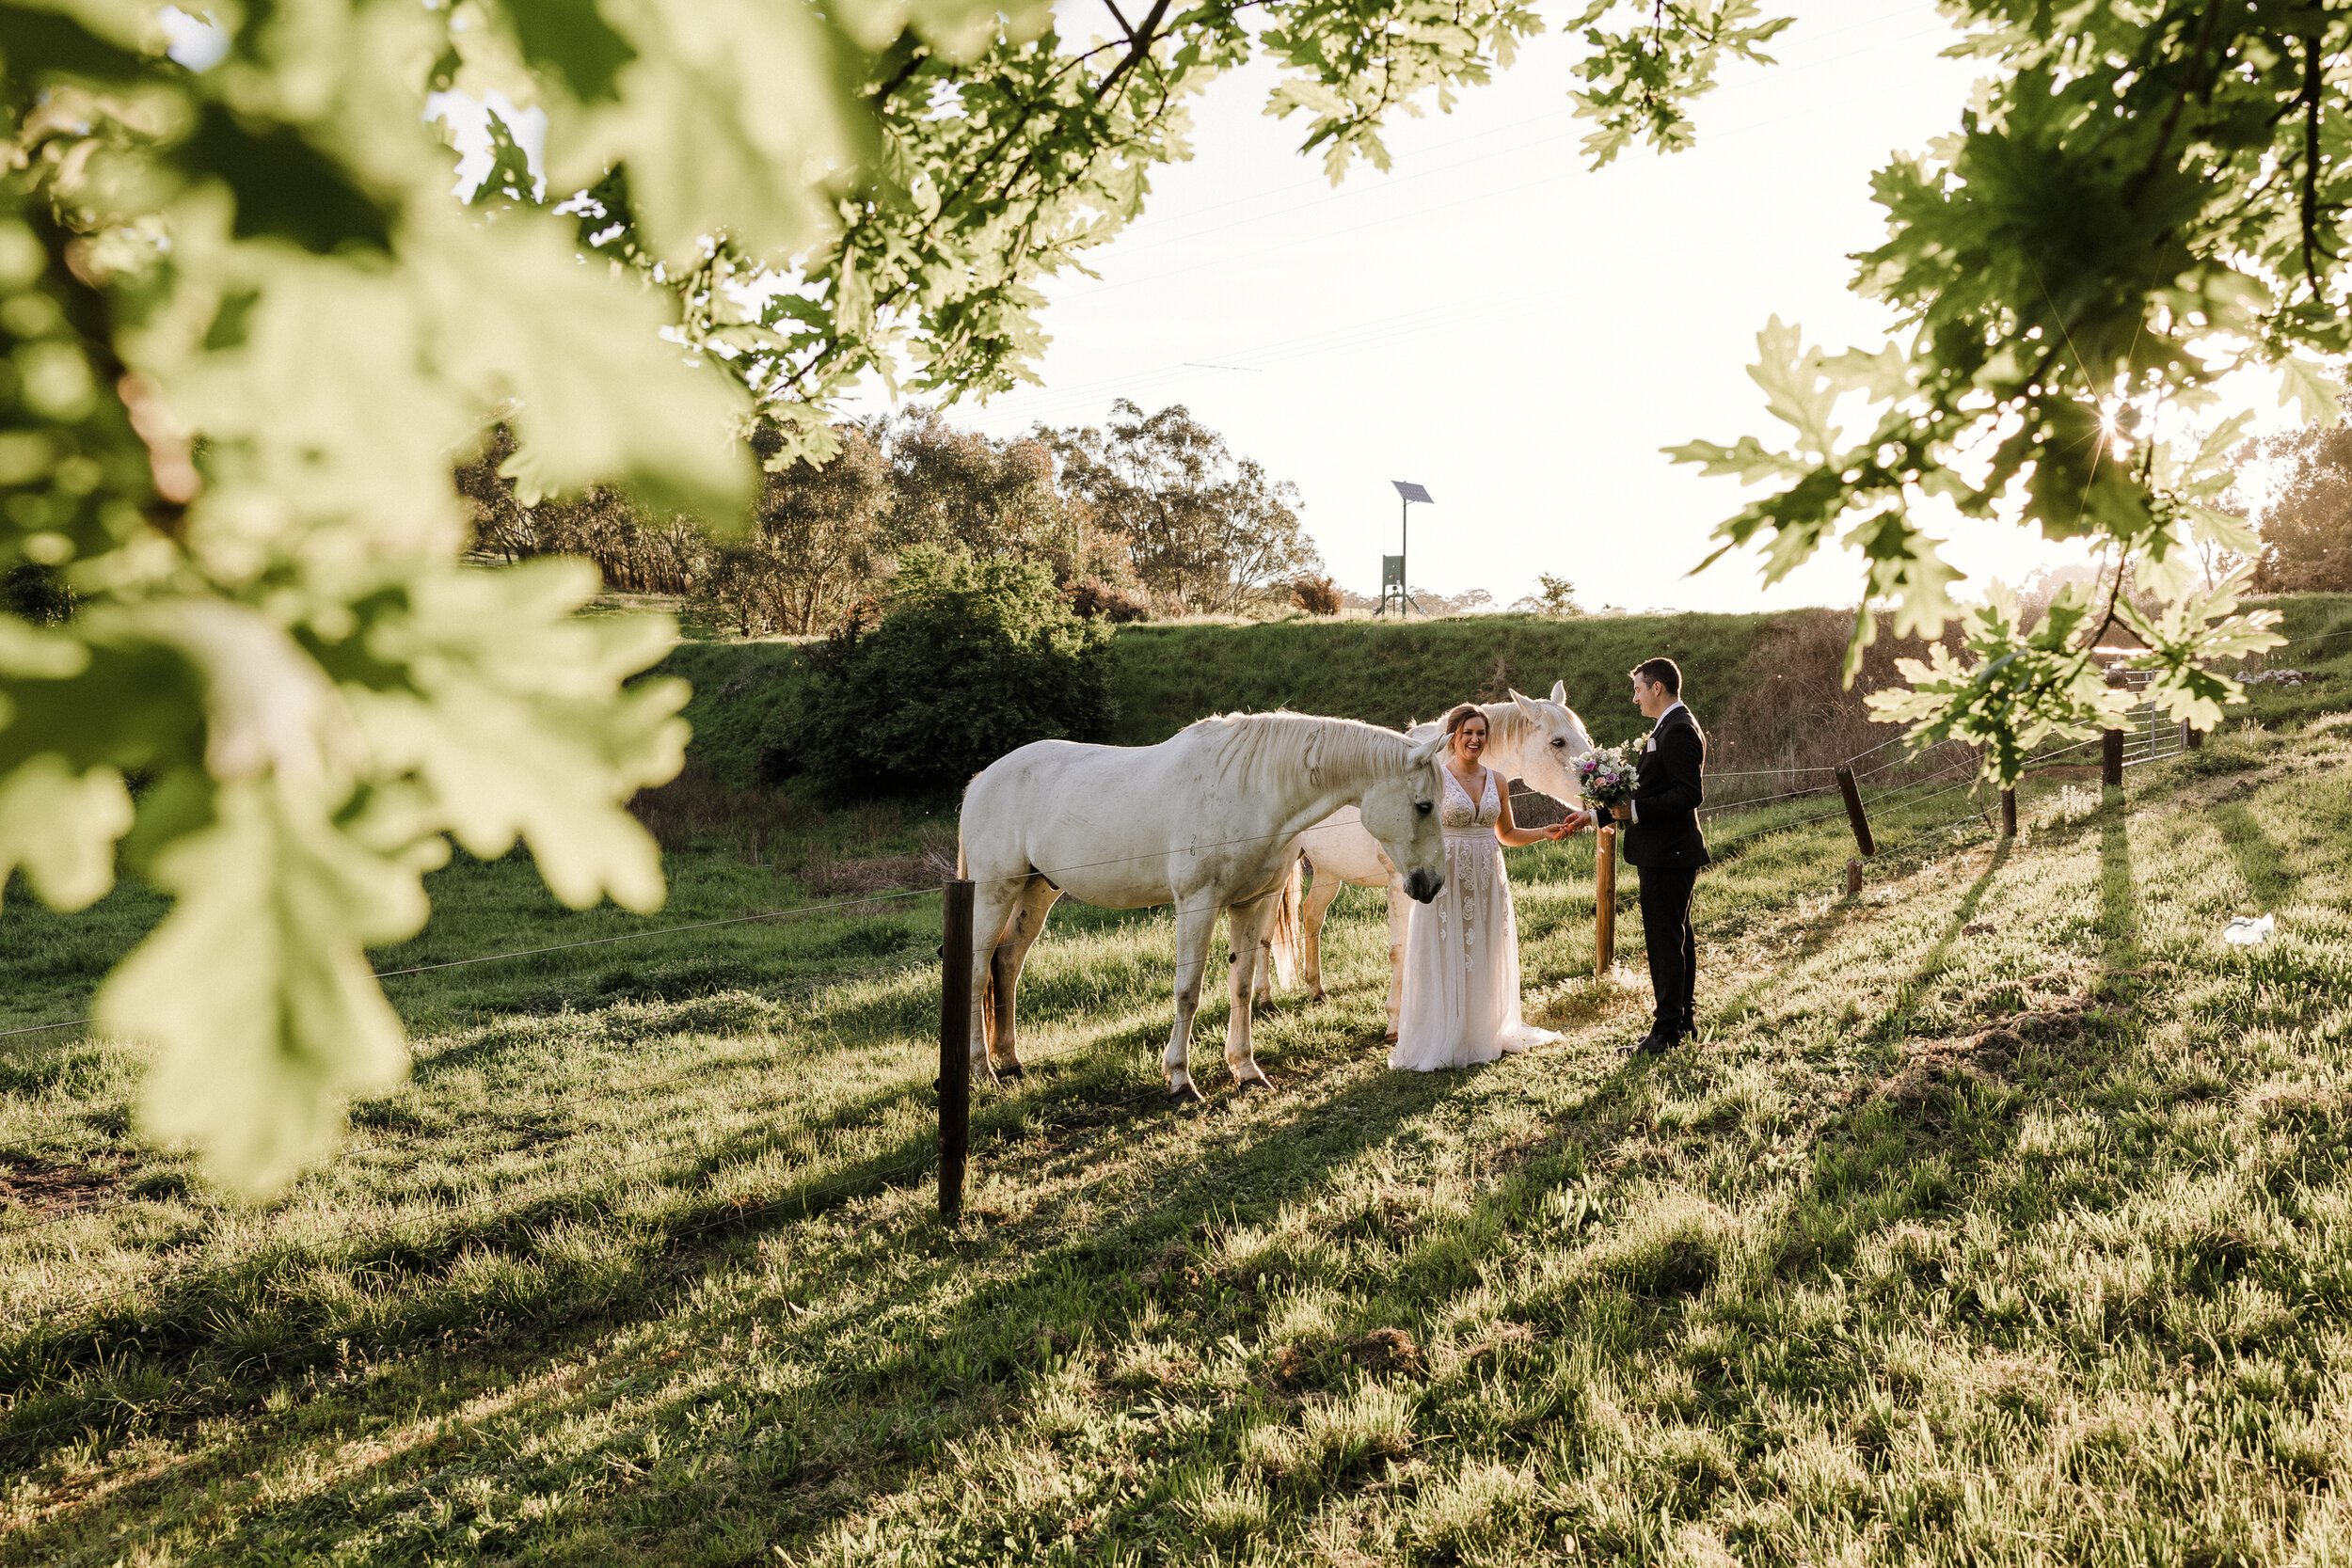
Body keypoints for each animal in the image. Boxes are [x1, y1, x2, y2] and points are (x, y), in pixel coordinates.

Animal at [960, 709, 1449, 1104]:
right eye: (1424, 805)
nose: (1432, 883)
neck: (1249, 789)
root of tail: (982, 780)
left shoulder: (1251, 904)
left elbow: (1242, 986)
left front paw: (1246, 1070)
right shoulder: (1197, 905)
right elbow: (1188, 991)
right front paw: (1179, 1080)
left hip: (1037, 891)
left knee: (1007, 964)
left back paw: (1011, 1061)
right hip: (995, 892)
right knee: (980, 970)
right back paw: (983, 1069)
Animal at [1289, 686, 1599, 1043]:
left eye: (1585, 735)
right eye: (1558, 742)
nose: (1599, 789)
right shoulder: (1402, 884)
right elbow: (1400, 950)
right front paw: (1396, 1023)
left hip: (1327, 871)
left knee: (1312, 914)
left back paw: (1316, 989)